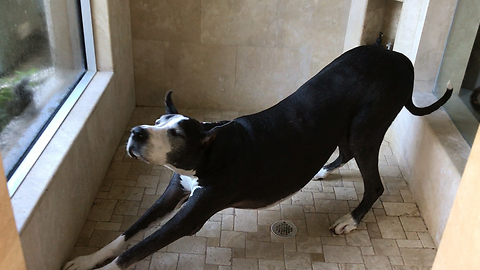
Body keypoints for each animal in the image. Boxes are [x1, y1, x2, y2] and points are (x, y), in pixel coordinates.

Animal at [62, 45, 450, 268]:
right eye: (158, 122)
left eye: (175, 135)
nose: (136, 132)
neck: (212, 152)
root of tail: (400, 58)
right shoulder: (175, 190)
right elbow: (129, 232)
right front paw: (86, 259)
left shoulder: (191, 217)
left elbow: (136, 250)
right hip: (348, 127)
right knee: (344, 151)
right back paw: (324, 170)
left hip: (366, 129)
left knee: (374, 184)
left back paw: (350, 220)